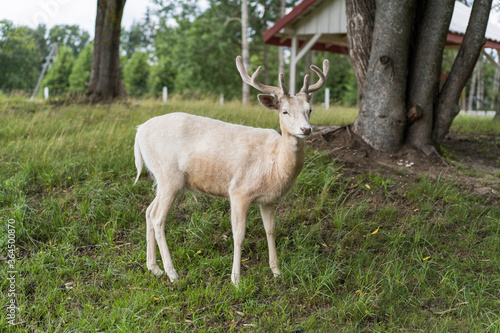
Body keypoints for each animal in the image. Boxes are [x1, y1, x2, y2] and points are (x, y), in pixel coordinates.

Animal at [134, 55, 328, 284]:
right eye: (285, 111)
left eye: (309, 110)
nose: (306, 129)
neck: (274, 164)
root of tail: (138, 132)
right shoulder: (238, 191)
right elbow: (239, 234)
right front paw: (236, 279)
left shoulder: (269, 199)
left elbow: (271, 230)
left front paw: (276, 271)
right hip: (169, 176)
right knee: (157, 217)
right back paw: (172, 273)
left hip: (161, 178)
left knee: (148, 211)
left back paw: (153, 268)